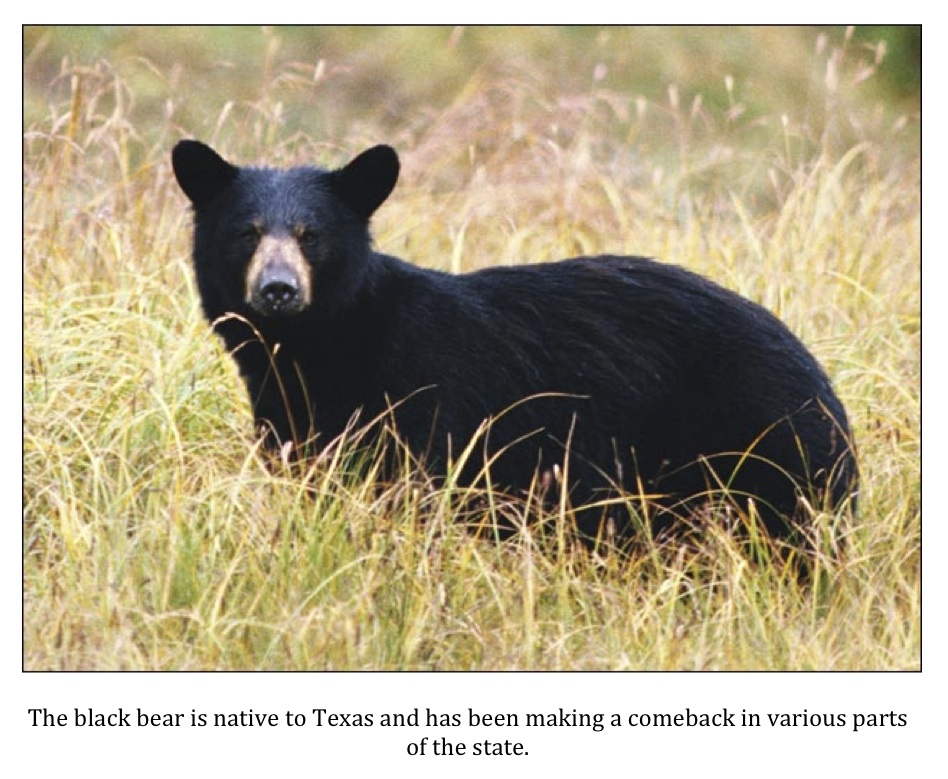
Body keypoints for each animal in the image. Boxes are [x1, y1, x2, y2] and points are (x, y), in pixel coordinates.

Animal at [171, 139, 857, 547]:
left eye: (311, 234)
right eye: (246, 232)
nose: (279, 289)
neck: (317, 349)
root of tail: (820, 378)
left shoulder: (426, 403)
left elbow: (422, 492)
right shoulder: (291, 413)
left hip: (759, 445)